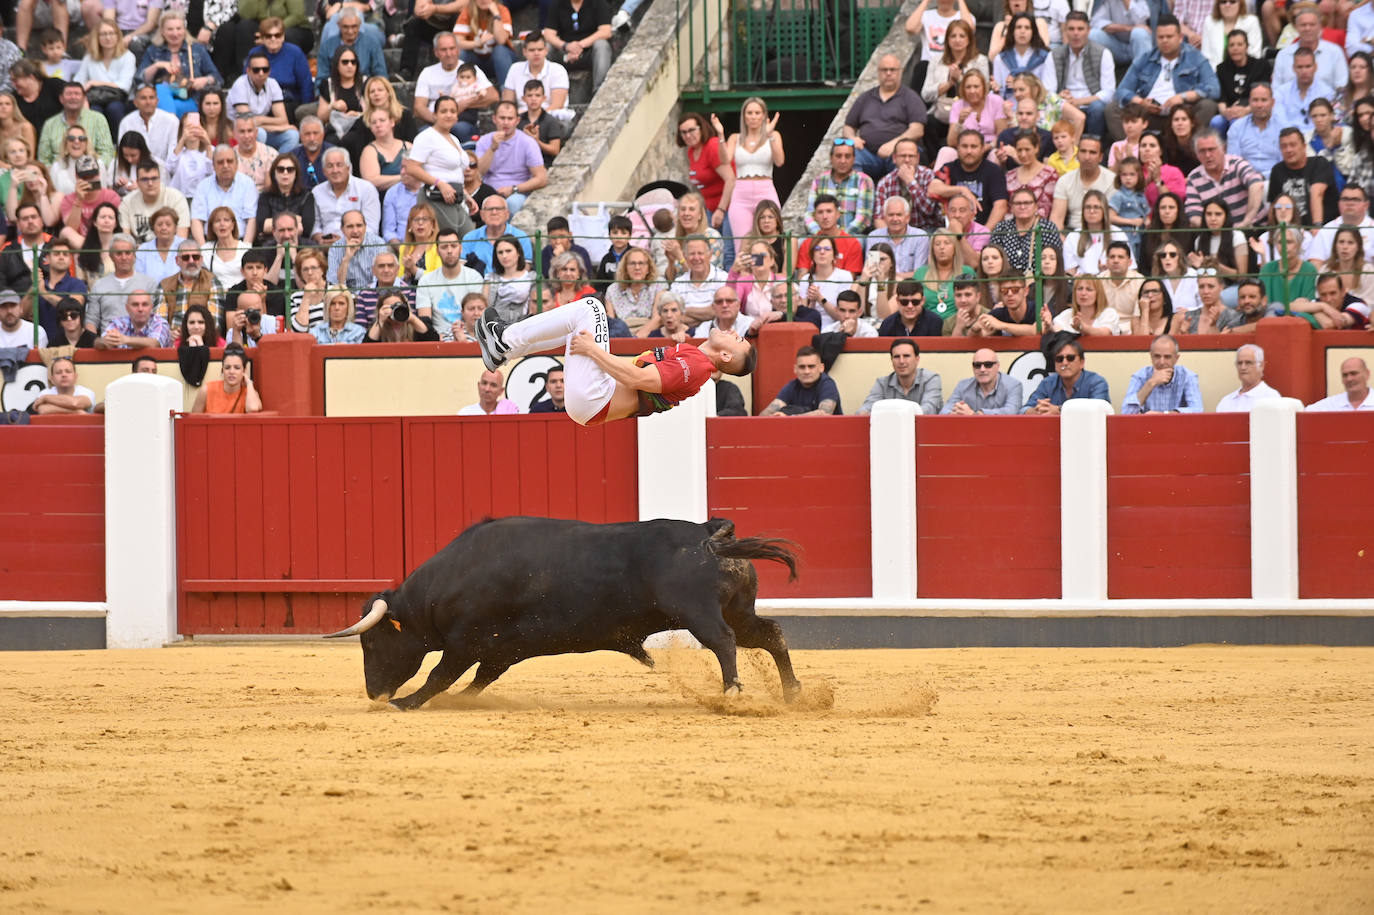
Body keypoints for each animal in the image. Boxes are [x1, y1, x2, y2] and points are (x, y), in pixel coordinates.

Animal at [322, 513, 802, 703]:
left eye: (372, 641)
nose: (373, 692)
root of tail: (708, 532)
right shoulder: (500, 651)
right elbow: (476, 681)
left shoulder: (464, 643)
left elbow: (439, 676)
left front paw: (406, 704)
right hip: (739, 610)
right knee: (769, 633)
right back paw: (794, 692)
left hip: (699, 614)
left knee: (723, 641)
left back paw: (733, 692)